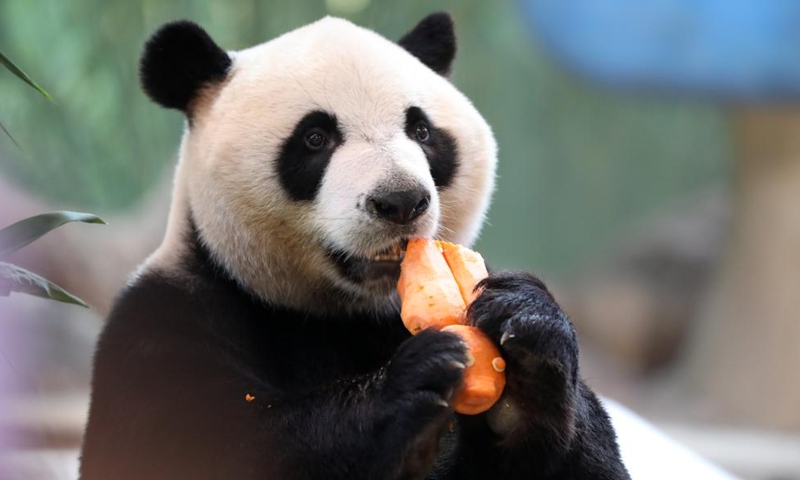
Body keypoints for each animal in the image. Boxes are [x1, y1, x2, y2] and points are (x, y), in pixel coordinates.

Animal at [81, 11, 632, 480]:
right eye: (315, 138)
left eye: (422, 130)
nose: (401, 201)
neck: (342, 315)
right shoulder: (165, 328)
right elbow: (224, 446)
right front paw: (415, 379)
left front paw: (528, 346)